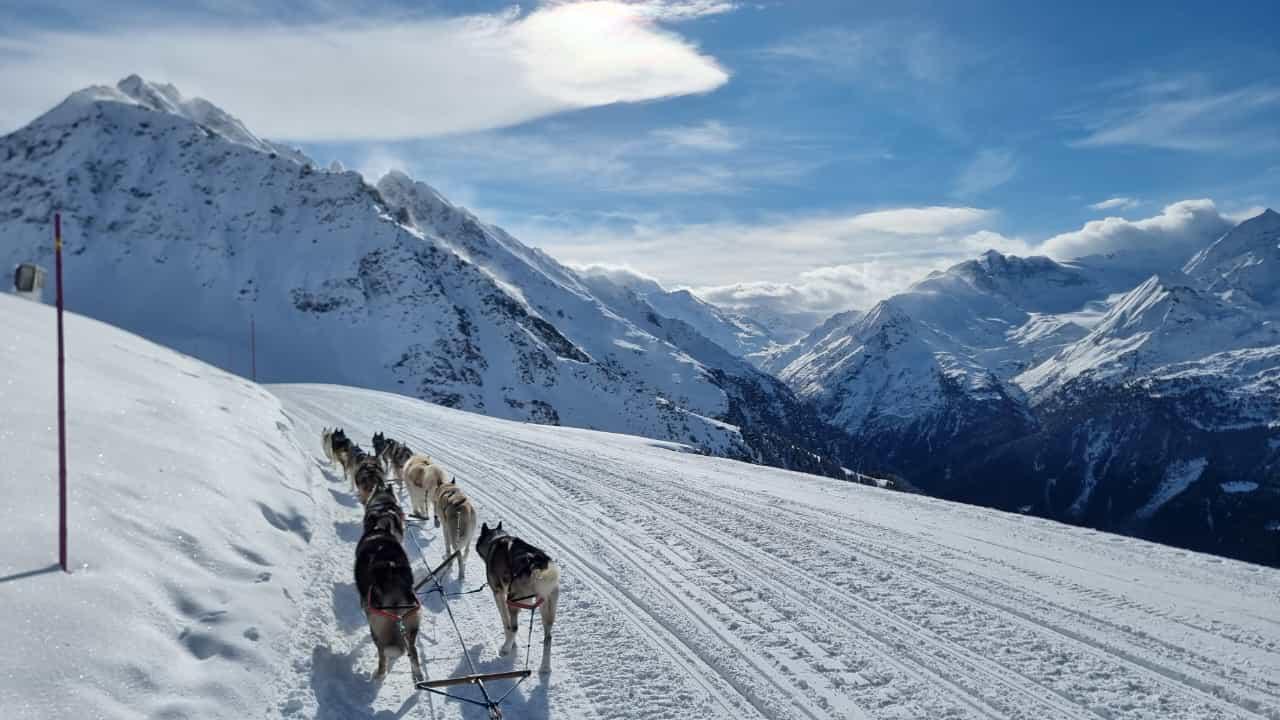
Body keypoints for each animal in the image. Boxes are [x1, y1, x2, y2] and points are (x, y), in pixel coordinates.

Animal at [355, 520, 424, 676]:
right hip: (411, 623)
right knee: (413, 651)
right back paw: (418, 674)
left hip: (376, 629)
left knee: (382, 652)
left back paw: (379, 674)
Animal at [476, 520, 560, 666]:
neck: (496, 538)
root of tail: (537, 565)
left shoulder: (499, 595)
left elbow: (506, 623)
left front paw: (510, 643)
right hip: (547, 606)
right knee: (548, 638)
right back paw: (545, 668)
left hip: (513, 600)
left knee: (515, 627)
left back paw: (505, 649)